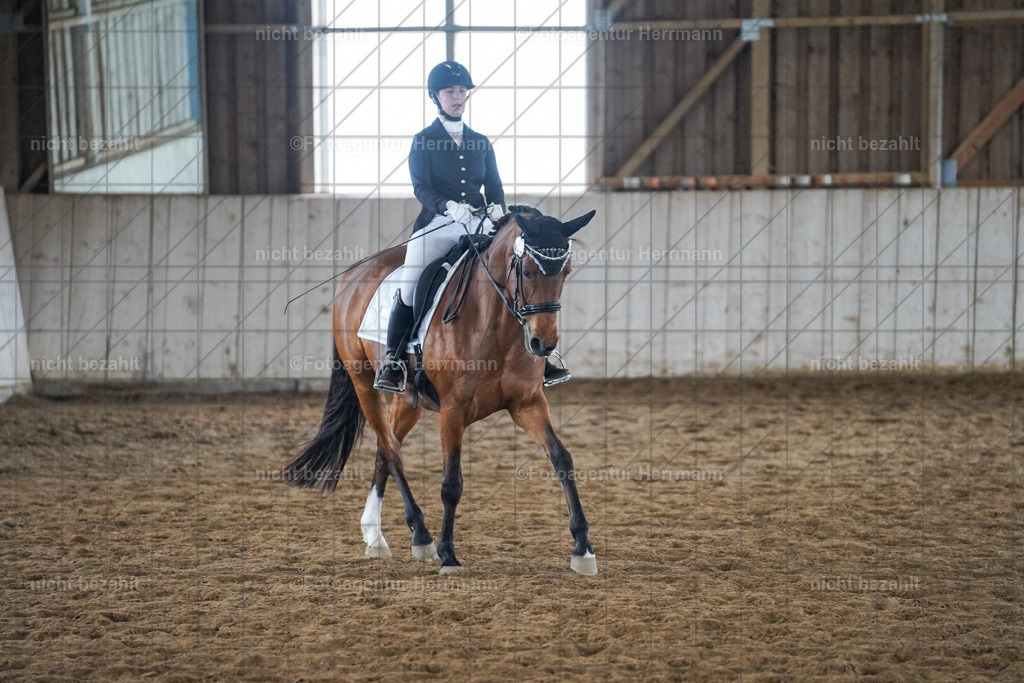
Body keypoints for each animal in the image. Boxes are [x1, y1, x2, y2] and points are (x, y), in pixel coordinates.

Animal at [282, 205, 598, 575]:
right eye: (528, 271)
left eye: (566, 272)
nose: (542, 344)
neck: (493, 323)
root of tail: (354, 272)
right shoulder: (453, 410)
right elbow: (451, 484)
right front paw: (448, 554)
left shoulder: (527, 403)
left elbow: (562, 458)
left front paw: (583, 548)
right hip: (364, 384)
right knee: (391, 451)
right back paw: (421, 537)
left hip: (410, 399)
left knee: (386, 448)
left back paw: (375, 536)